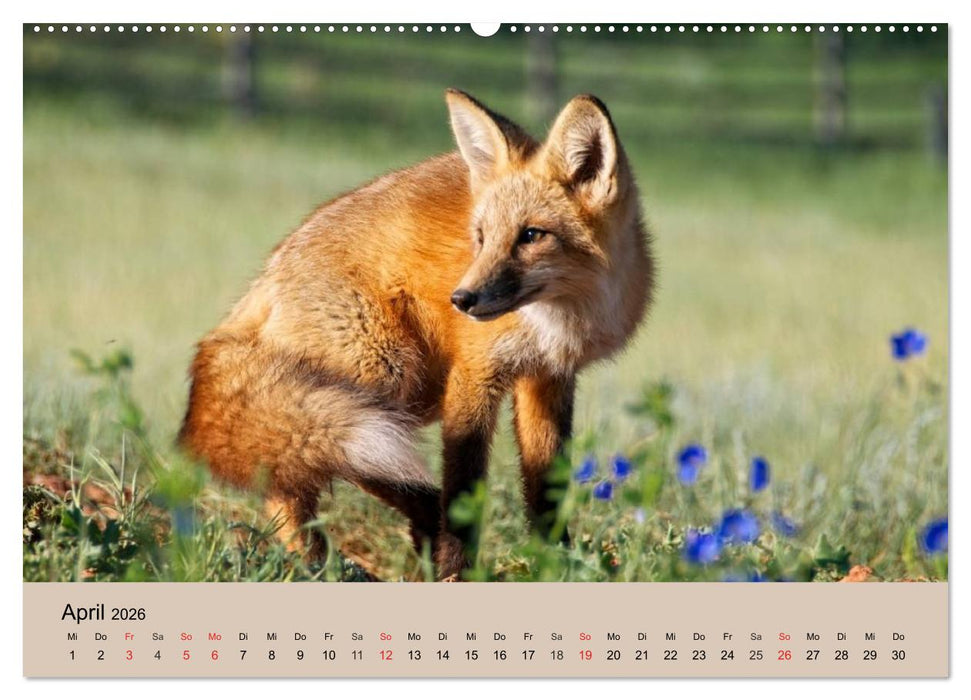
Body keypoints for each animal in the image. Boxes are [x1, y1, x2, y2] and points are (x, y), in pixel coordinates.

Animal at [179, 89, 654, 579]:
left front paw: (556, 564)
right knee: (302, 471)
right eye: (481, 237)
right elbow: (465, 486)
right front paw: (458, 572)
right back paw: (340, 558)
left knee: (291, 474)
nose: (461, 300)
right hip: (386, 379)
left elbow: (547, 490)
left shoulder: (547, 377)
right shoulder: (473, 375)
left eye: (531, 235)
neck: (559, 319)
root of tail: (264, 279)